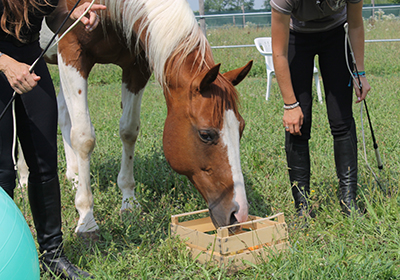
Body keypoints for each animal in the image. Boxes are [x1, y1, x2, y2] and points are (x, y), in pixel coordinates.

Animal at [37, 0, 250, 240]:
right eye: (206, 134)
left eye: (241, 128)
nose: (239, 214)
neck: (110, 11)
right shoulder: (71, 51)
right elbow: (84, 137)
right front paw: (86, 219)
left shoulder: (136, 66)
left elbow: (129, 130)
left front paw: (129, 202)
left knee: (63, 113)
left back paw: (73, 176)